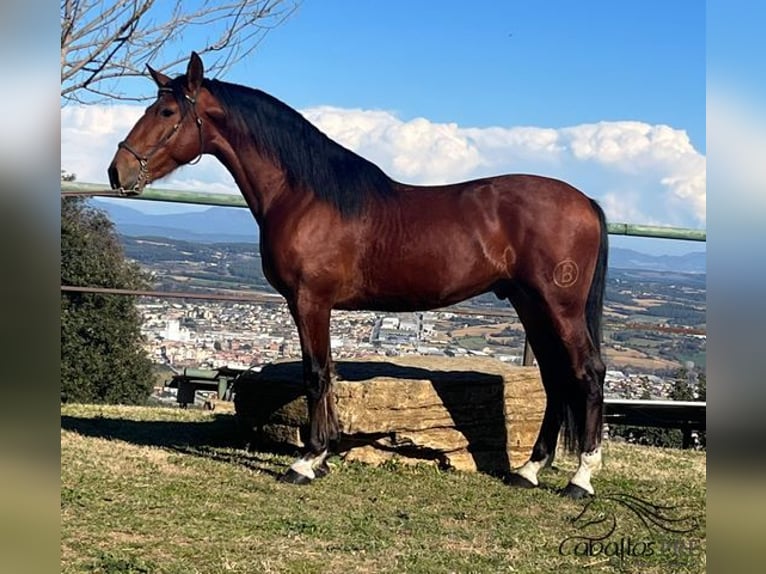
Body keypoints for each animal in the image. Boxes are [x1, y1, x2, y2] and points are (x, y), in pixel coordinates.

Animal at [109, 53, 612, 500]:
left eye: (166, 111)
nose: (118, 171)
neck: (304, 196)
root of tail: (586, 201)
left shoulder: (309, 301)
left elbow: (315, 374)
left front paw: (307, 461)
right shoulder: (318, 305)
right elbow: (328, 371)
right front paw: (325, 455)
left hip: (559, 307)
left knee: (587, 372)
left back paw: (580, 479)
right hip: (531, 305)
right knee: (555, 379)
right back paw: (529, 470)